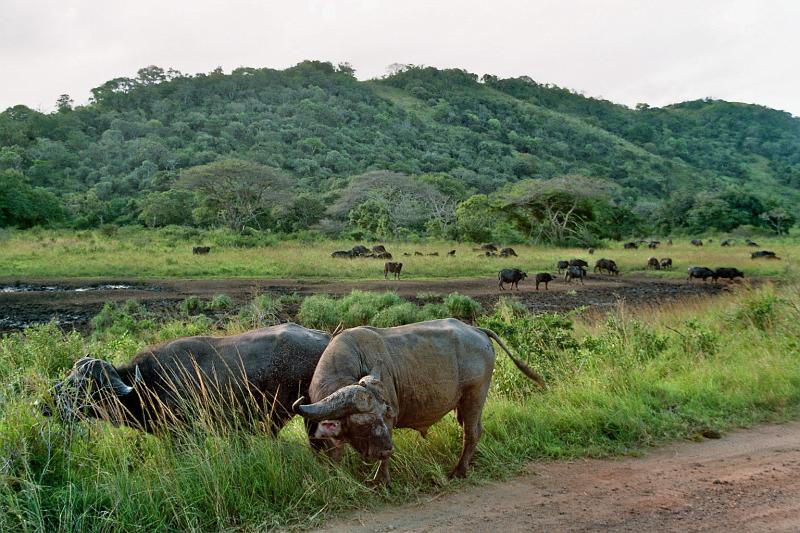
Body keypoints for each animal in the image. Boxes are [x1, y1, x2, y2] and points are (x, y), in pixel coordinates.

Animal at [292, 318, 544, 484]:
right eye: (364, 423)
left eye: (386, 413)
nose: (388, 449)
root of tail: (476, 329)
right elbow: (335, 451)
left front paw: (380, 482)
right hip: (463, 403)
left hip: (475, 395)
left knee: (472, 431)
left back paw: (459, 471)